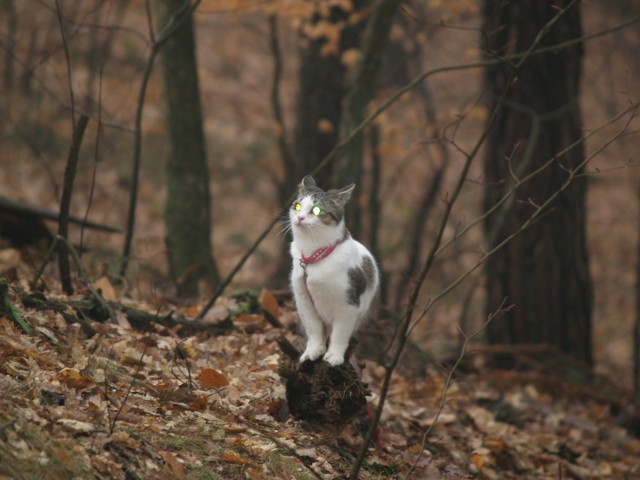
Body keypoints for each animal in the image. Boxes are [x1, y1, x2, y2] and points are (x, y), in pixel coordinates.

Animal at [290, 174, 380, 366]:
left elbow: (340, 333)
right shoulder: (304, 300)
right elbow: (314, 328)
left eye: (316, 210)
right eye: (298, 206)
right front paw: (313, 351)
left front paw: (334, 356)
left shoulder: (349, 303)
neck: (314, 257)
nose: (299, 217)